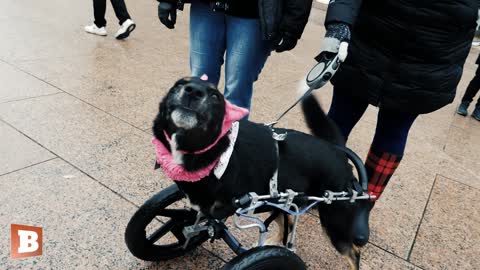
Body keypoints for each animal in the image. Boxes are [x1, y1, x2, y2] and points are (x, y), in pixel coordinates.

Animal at [156, 76, 366, 270]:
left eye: (215, 96)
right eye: (180, 84)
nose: (193, 91)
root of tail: (339, 153)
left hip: (334, 223)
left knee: (354, 252)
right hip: (283, 202)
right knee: (286, 223)